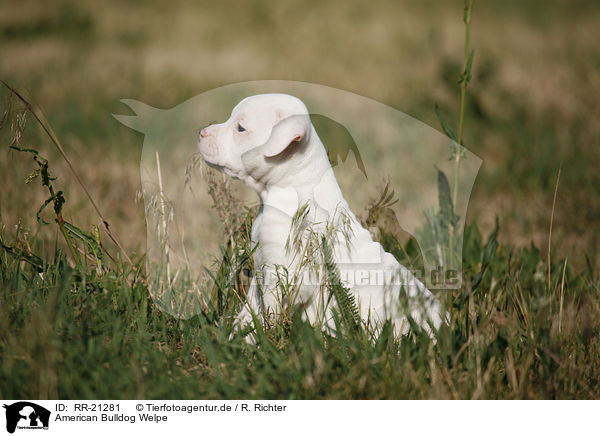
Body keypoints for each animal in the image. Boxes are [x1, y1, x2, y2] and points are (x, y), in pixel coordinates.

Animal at [198, 93, 446, 336]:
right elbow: (249, 313)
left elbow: (269, 314)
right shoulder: (261, 270)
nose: (201, 132)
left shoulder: (285, 277)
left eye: (240, 128)